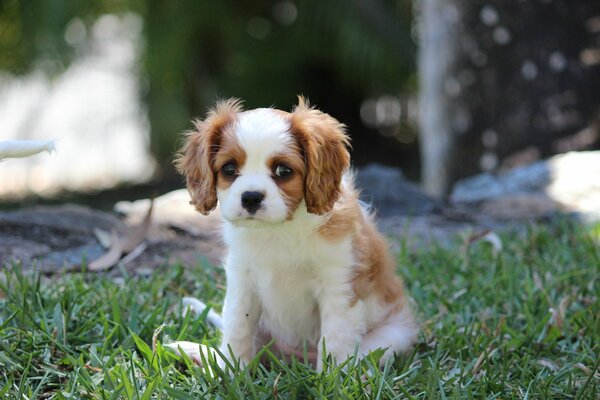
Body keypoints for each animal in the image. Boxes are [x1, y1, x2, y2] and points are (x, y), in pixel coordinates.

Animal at [173, 97, 418, 372]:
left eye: (283, 171)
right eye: (228, 169)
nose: (251, 197)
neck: (279, 229)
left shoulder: (338, 285)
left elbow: (334, 340)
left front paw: (329, 378)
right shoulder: (242, 281)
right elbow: (237, 326)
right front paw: (230, 373)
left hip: (391, 336)